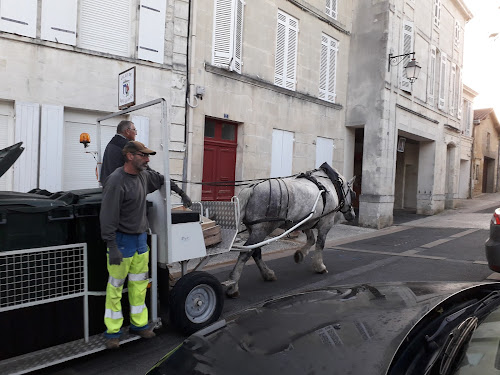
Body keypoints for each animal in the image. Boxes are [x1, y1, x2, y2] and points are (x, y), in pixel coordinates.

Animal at [227, 163, 356, 298]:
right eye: (353, 194)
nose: (353, 215)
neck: (329, 183)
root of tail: (252, 188)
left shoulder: (306, 221)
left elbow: (311, 239)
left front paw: (300, 254)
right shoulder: (326, 223)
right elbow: (320, 244)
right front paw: (319, 266)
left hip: (255, 230)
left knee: (255, 251)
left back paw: (267, 274)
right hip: (261, 230)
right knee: (246, 252)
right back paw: (233, 285)